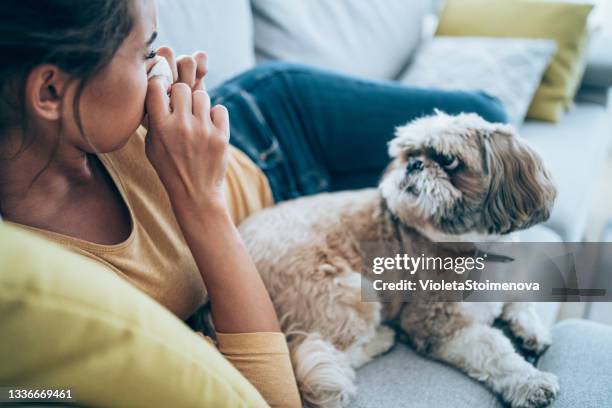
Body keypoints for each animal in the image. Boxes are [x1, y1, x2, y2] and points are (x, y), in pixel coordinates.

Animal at [238, 111, 560, 408]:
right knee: (329, 356)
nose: (413, 164)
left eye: (448, 160)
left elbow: (520, 300)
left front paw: (533, 329)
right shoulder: (434, 322)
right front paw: (530, 381)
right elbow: (493, 349)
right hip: (350, 292)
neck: (476, 247)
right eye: (409, 154)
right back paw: (381, 339)